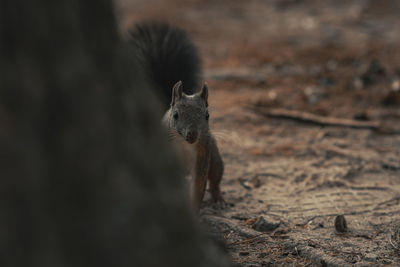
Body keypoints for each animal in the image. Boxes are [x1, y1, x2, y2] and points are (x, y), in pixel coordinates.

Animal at [128, 22, 223, 211]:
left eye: (207, 115)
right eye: (176, 115)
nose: (192, 135)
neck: (183, 145)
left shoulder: (202, 153)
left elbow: (198, 185)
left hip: (214, 157)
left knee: (215, 178)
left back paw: (218, 198)